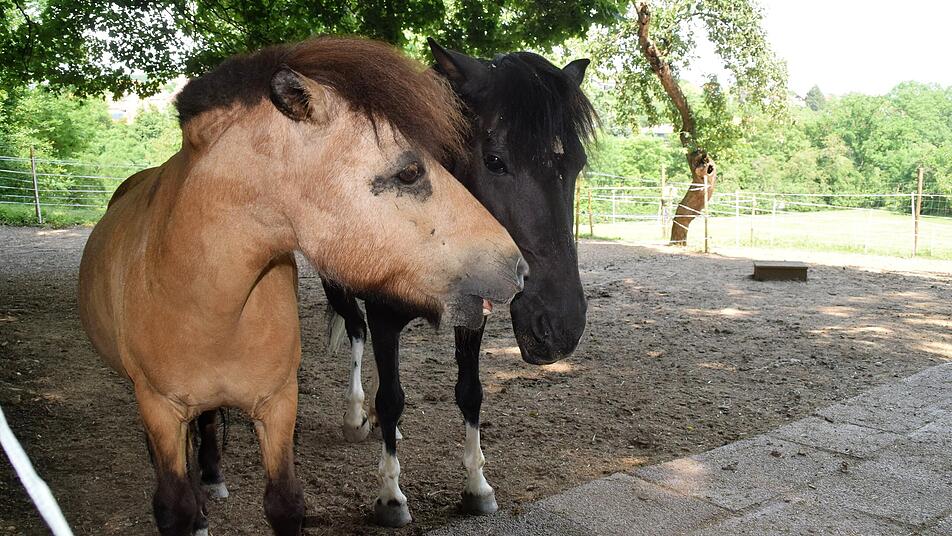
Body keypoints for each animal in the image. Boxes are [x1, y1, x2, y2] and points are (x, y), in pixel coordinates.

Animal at [77, 37, 528, 536]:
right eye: (410, 172)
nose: (518, 267)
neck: (205, 306)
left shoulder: (277, 406)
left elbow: (285, 503)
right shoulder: (160, 409)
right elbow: (176, 505)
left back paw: (212, 477)